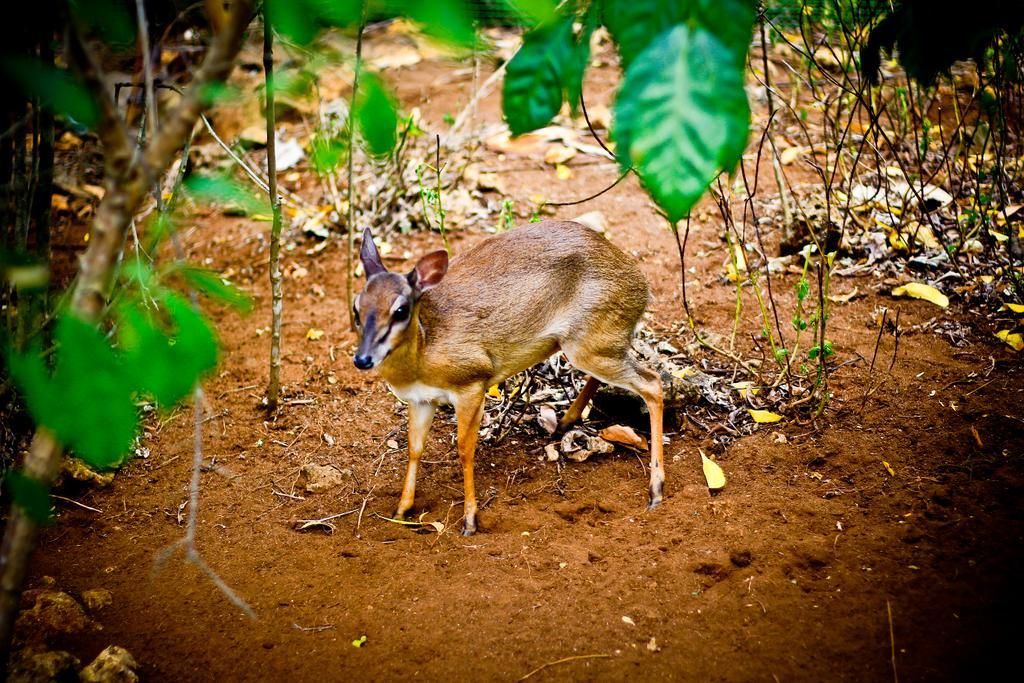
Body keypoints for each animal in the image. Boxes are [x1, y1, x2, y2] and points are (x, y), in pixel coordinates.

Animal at [354, 222, 663, 536]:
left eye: (400, 310)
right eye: (356, 307)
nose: (362, 359)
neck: (424, 348)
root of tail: (641, 283)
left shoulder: (471, 386)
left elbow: (465, 449)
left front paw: (470, 521)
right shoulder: (421, 400)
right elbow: (414, 449)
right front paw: (401, 510)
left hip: (591, 347)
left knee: (653, 382)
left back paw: (656, 491)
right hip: (590, 347)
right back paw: (565, 422)